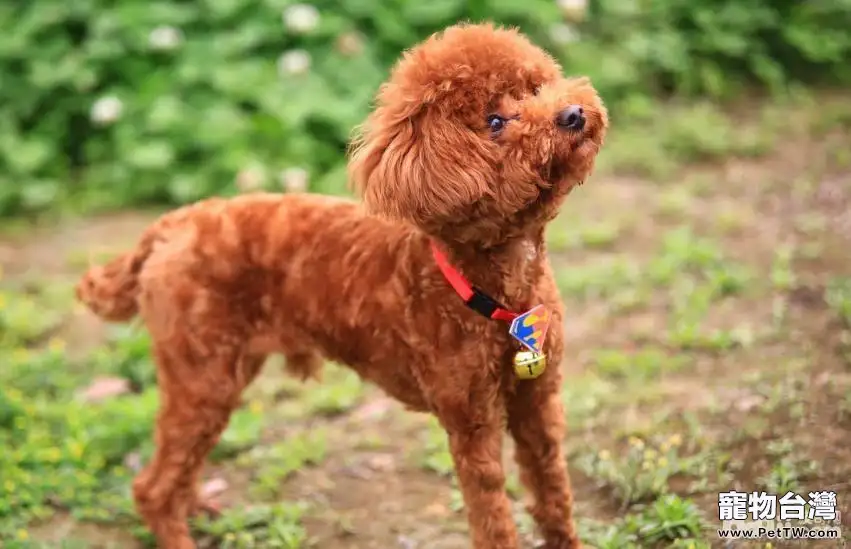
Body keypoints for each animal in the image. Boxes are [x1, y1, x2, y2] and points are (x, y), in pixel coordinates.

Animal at [73, 22, 604, 548]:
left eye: (535, 87)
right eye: (494, 121)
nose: (573, 113)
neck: (500, 290)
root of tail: (169, 226)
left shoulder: (539, 403)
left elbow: (554, 496)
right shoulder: (472, 423)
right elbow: (493, 518)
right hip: (201, 376)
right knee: (153, 487)